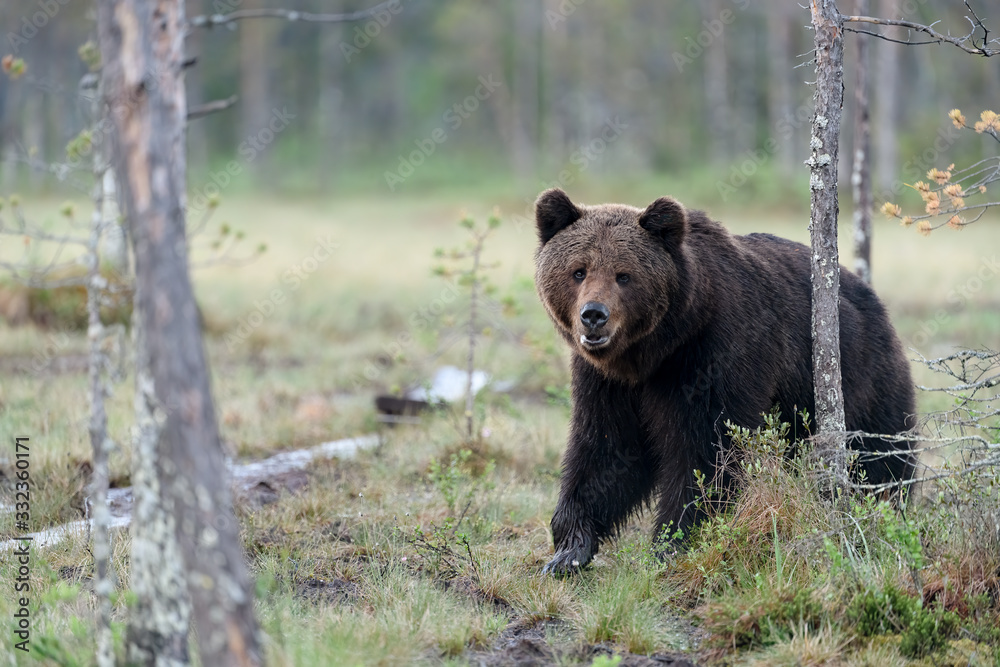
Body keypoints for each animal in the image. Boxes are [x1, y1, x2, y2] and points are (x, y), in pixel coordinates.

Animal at [536, 188, 916, 576]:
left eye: (623, 275)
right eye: (578, 271)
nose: (594, 315)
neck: (656, 350)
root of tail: (866, 291)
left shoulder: (714, 358)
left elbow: (707, 455)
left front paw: (673, 544)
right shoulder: (606, 383)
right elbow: (606, 450)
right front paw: (569, 550)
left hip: (860, 375)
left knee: (877, 454)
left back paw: (883, 508)